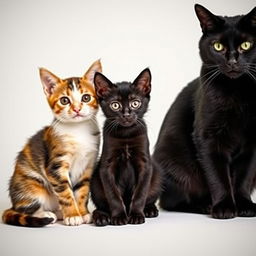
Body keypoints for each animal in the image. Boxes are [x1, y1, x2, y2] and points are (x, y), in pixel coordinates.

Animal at [2, 59, 102, 226]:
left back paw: (59, 212)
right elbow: (65, 192)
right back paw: (46, 214)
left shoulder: (88, 164)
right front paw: (73, 215)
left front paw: (83, 213)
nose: (76, 109)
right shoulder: (56, 165)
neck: (78, 130)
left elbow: (82, 191)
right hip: (32, 184)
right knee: (23, 209)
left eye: (86, 98)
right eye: (64, 100)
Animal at [91, 68, 161, 226]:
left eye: (135, 103)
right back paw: (101, 217)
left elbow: (140, 193)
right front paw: (118, 216)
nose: (127, 115)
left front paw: (136, 215)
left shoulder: (145, 164)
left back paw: (150, 210)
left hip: (157, 176)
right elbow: (113, 195)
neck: (126, 134)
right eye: (115, 105)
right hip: (95, 181)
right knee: (100, 206)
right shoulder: (106, 167)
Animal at [153, 4, 256, 220]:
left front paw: (244, 205)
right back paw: (204, 205)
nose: (232, 61)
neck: (237, 92)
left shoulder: (252, 142)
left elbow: (244, 176)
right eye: (217, 46)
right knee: (172, 201)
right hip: (175, 166)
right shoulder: (208, 138)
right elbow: (218, 175)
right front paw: (224, 207)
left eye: (246, 45)